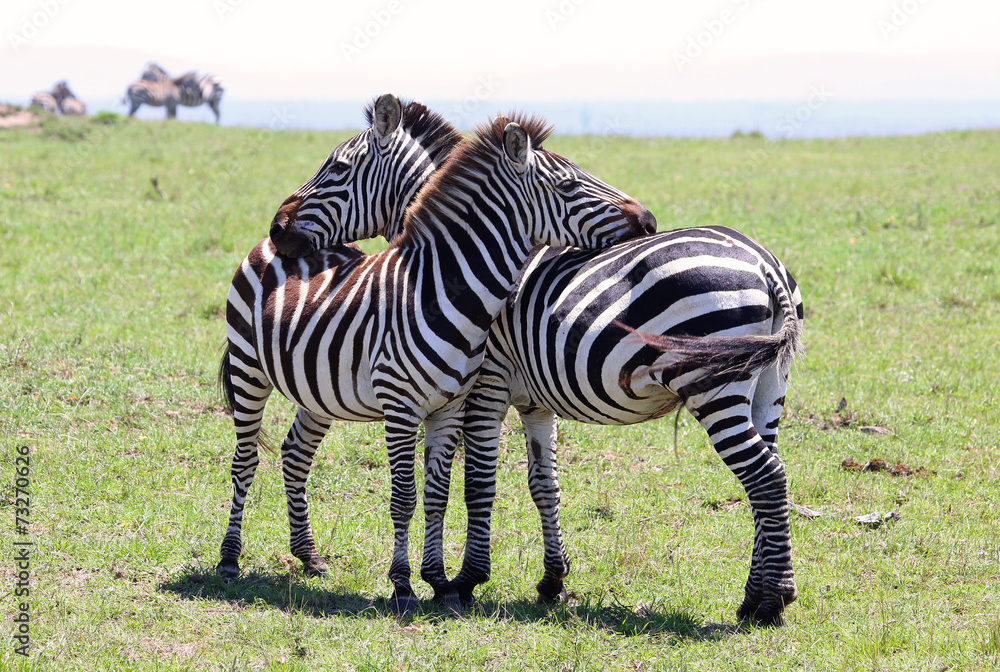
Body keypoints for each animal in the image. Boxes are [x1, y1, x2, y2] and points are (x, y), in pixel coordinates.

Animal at [217, 94, 656, 615]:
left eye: (337, 167)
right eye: (569, 184)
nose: (278, 228)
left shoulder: (470, 400)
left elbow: (458, 488)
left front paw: (448, 579)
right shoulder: (463, 398)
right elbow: (457, 488)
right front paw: (433, 581)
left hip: (317, 386)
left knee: (293, 452)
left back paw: (306, 555)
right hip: (251, 370)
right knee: (248, 459)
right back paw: (231, 560)